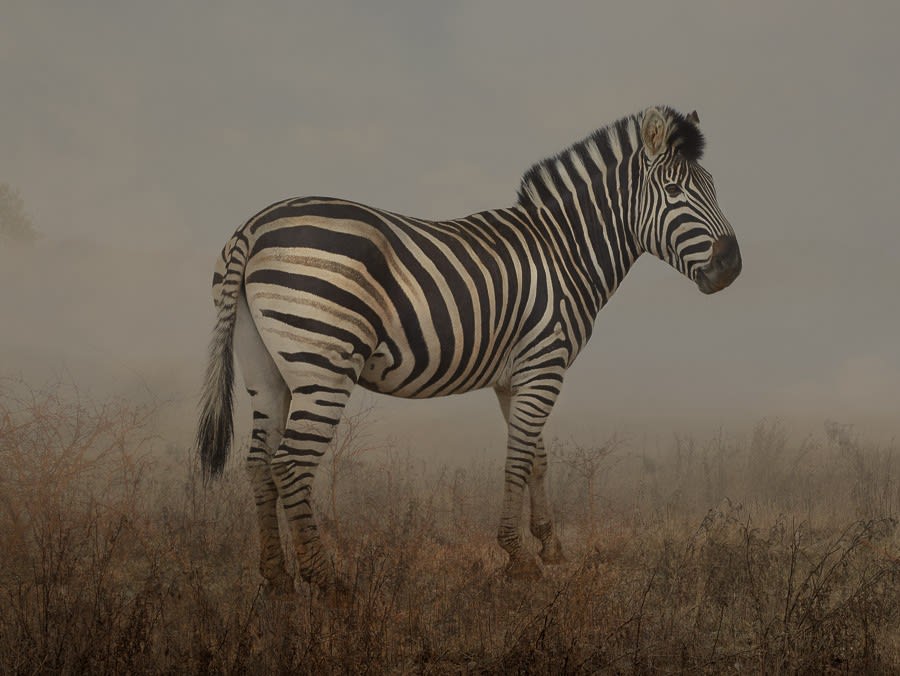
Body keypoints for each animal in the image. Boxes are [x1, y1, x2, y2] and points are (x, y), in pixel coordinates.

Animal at [196, 106, 742, 599]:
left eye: (713, 187)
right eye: (674, 192)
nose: (732, 267)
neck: (566, 252)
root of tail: (253, 227)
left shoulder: (514, 376)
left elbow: (537, 457)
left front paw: (549, 546)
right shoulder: (544, 363)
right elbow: (518, 458)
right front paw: (519, 558)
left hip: (266, 369)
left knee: (258, 462)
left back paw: (276, 578)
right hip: (324, 363)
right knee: (291, 463)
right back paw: (325, 580)